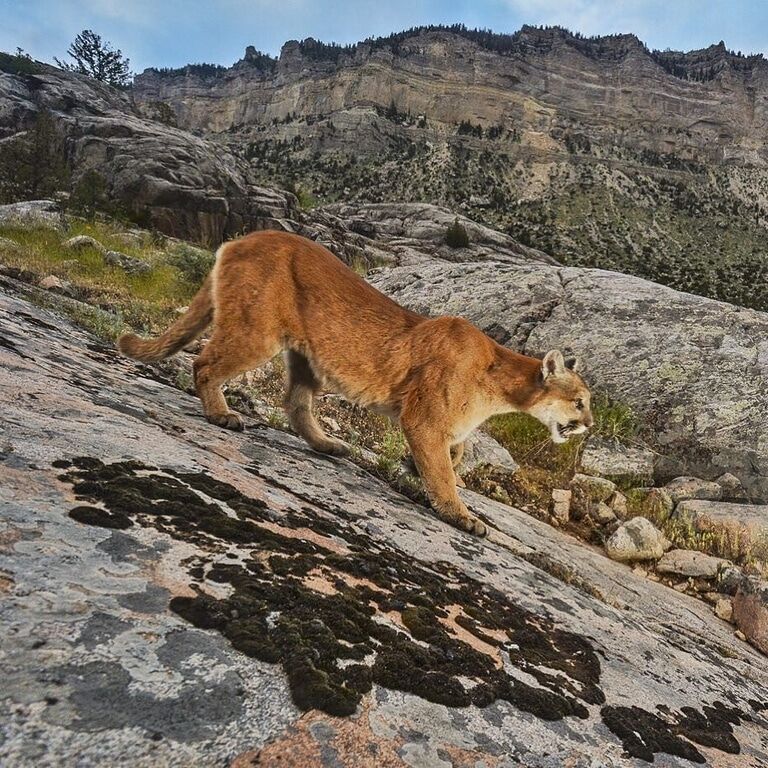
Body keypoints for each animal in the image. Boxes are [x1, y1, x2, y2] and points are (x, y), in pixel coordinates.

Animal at [117, 231, 592, 536]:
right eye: (581, 401)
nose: (590, 425)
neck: (499, 382)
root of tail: (238, 240)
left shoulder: (440, 423)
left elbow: (454, 454)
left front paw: (413, 468)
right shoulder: (423, 417)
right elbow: (444, 471)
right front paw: (460, 515)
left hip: (307, 358)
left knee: (294, 403)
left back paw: (327, 444)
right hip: (257, 332)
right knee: (203, 363)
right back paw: (222, 414)